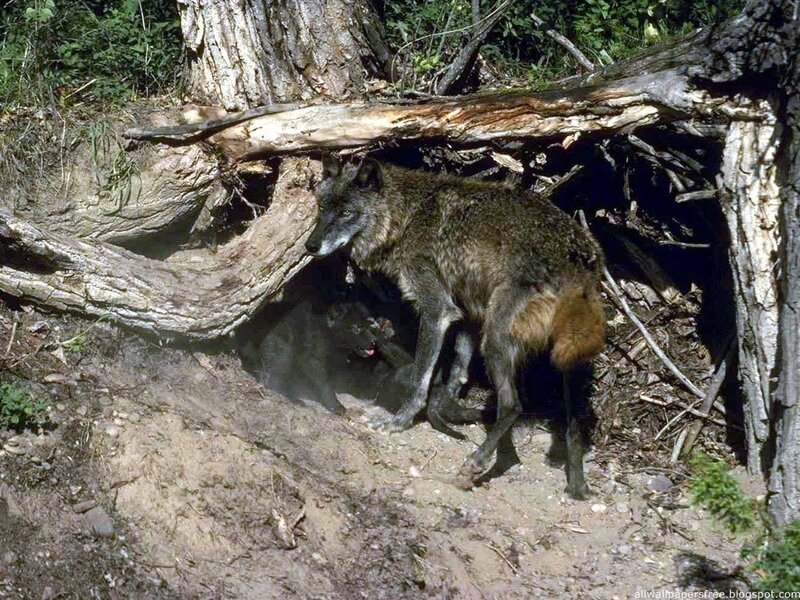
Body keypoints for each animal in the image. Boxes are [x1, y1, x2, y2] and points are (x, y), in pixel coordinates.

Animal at [305, 156, 605, 498]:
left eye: (346, 212)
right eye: (321, 208)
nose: (310, 245)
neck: (406, 217)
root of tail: (576, 260)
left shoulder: (437, 310)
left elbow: (420, 379)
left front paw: (399, 421)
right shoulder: (468, 315)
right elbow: (457, 372)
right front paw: (445, 407)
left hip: (496, 341)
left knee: (512, 405)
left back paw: (474, 465)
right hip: (565, 356)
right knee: (573, 421)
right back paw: (577, 483)